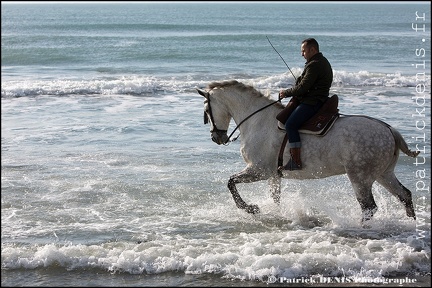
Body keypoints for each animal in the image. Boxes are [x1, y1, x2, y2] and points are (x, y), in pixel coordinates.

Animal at [197, 80, 420, 224]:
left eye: (207, 110)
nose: (217, 138)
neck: (258, 121)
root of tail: (389, 130)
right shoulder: (273, 175)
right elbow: (275, 198)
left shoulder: (259, 170)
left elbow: (230, 183)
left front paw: (251, 208)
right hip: (384, 174)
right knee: (404, 195)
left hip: (360, 177)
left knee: (369, 207)